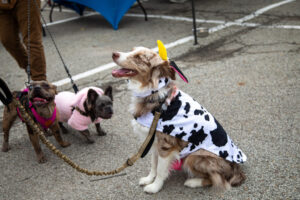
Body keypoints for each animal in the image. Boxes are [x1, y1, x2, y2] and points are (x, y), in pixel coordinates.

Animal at [111, 46, 245, 193]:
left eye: (139, 58)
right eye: (132, 50)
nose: (114, 54)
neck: (157, 98)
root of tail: (236, 168)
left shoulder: (166, 145)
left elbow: (160, 170)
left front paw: (155, 187)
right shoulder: (153, 141)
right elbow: (153, 164)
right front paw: (148, 179)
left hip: (194, 157)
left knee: (217, 179)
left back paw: (193, 182)